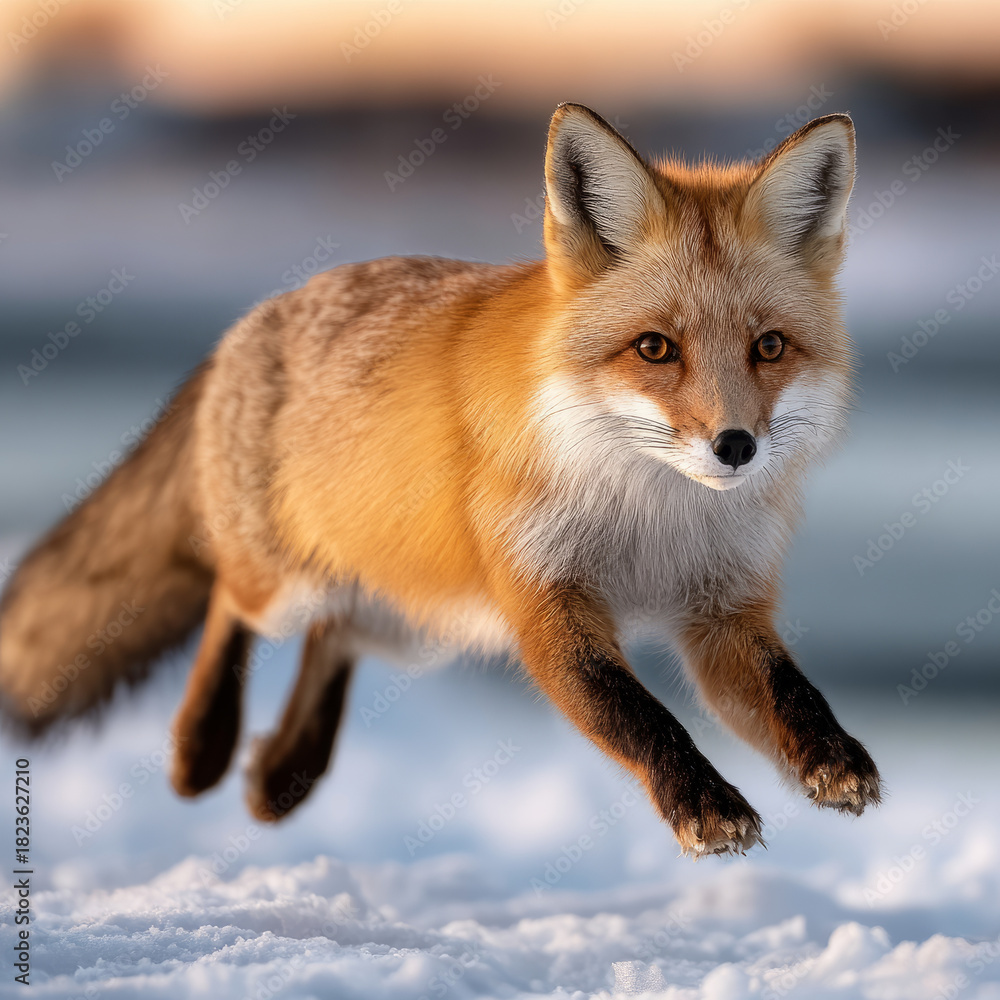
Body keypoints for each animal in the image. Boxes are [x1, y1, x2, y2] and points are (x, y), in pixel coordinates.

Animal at [0, 104, 881, 857]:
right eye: (655, 349)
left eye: (769, 347)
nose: (735, 447)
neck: (655, 515)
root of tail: (258, 317)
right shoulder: (547, 608)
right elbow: (640, 717)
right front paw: (706, 807)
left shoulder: (721, 610)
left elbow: (791, 691)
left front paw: (836, 760)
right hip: (292, 587)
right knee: (229, 597)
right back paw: (201, 750)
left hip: (415, 618)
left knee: (334, 636)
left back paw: (283, 775)